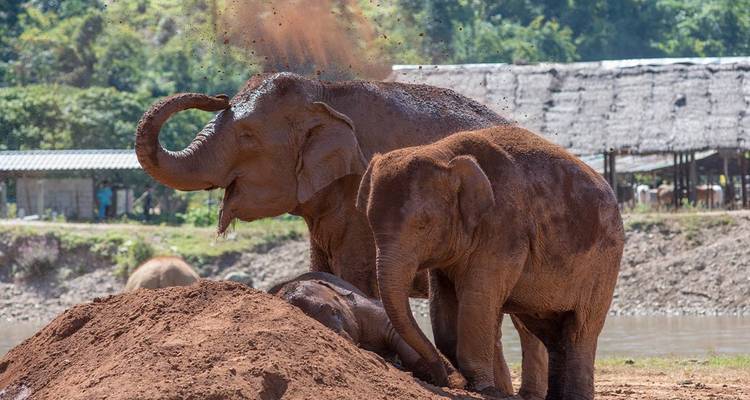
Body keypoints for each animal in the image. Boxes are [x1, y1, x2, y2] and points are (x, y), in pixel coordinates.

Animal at [356, 125, 624, 399]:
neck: (442, 152)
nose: (444, 380)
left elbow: (477, 297)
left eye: (423, 224)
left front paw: (483, 388)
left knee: (581, 328)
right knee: (550, 332)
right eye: (369, 222)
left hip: (604, 265)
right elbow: (442, 300)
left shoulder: (503, 228)